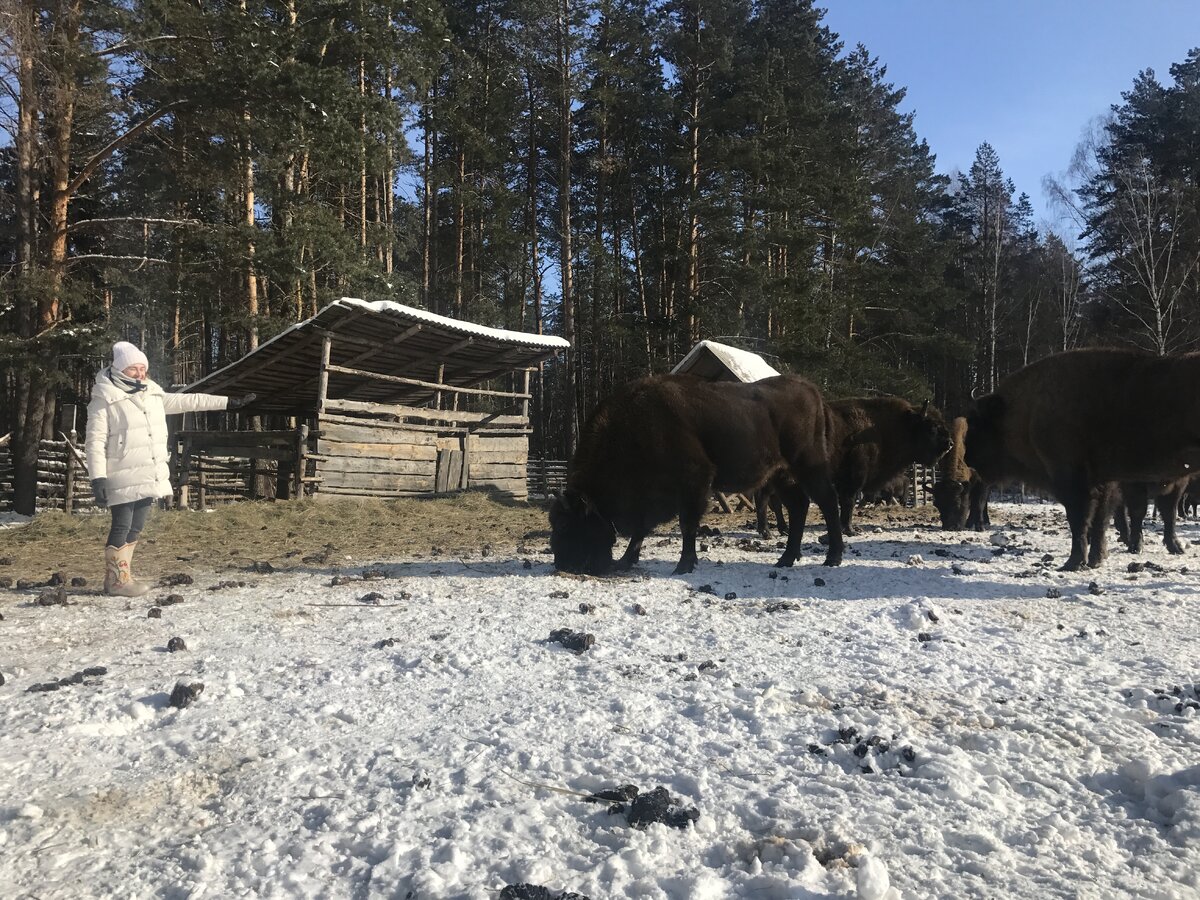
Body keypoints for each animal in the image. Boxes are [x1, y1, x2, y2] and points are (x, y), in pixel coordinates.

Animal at [552, 374, 844, 578]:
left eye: (566, 524)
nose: (560, 562)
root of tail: (812, 390)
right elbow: (641, 529)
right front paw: (626, 560)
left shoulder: (694, 482)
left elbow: (686, 525)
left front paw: (683, 565)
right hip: (781, 476)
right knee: (799, 506)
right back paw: (786, 559)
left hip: (808, 466)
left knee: (828, 502)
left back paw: (832, 558)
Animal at [960, 348, 1200, 571]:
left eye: (977, 423)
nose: (967, 457)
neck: (1029, 409)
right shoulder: (1104, 483)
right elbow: (1100, 521)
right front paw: (1096, 559)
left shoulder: (1073, 481)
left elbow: (1079, 520)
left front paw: (1073, 562)